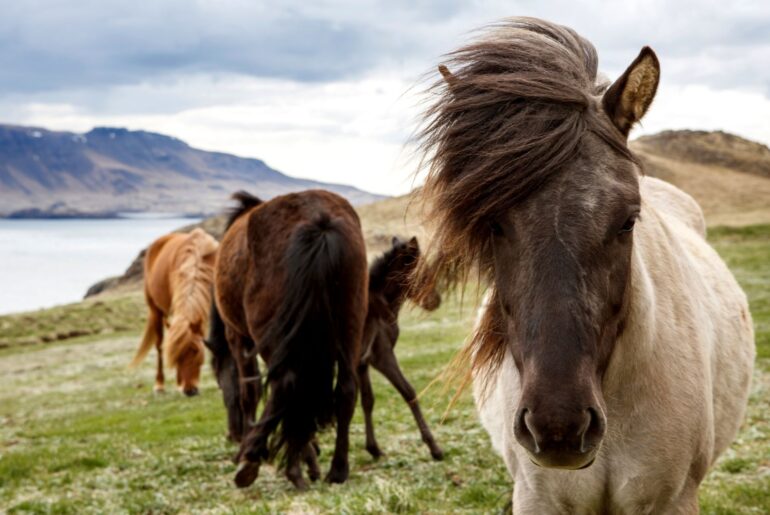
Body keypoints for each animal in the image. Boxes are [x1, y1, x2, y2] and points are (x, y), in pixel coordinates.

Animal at [130, 228, 219, 397]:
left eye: (197, 352)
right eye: (177, 358)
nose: (190, 391)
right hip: (155, 311)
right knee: (159, 346)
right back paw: (160, 385)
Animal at [207, 189, 368, 490]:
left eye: (221, 385)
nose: (232, 434)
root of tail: (319, 221)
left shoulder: (239, 338)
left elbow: (250, 391)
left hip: (276, 337)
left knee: (288, 385)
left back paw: (269, 464)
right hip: (349, 325)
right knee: (346, 389)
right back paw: (336, 471)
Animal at [360, 236, 444, 461]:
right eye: (423, 272)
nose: (436, 300)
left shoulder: (362, 363)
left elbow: (368, 400)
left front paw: (374, 449)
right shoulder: (382, 356)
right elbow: (409, 392)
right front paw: (434, 447)